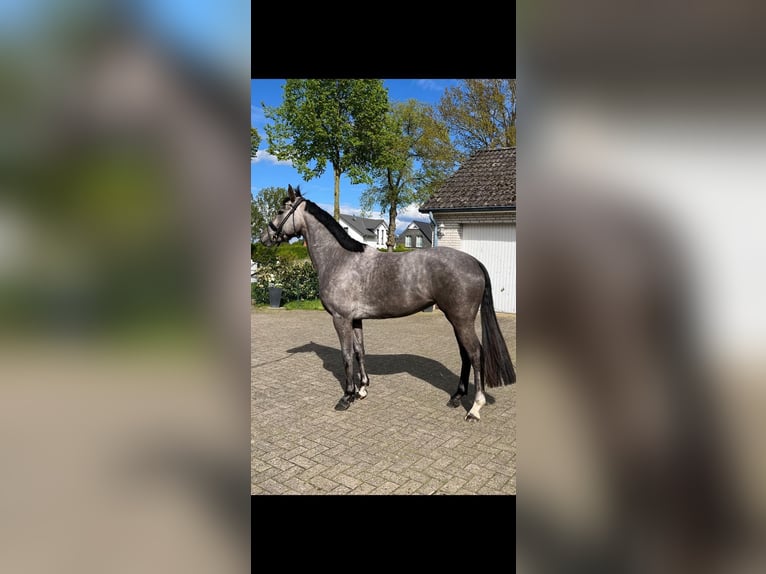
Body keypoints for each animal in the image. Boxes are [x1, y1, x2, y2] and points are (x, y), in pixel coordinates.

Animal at [259, 185, 516, 421]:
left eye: (281, 210)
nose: (264, 238)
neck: (339, 259)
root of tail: (474, 262)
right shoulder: (355, 319)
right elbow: (359, 351)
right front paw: (362, 390)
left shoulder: (341, 319)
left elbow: (346, 355)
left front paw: (346, 396)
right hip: (456, 319)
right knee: (465, 354)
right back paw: (456, 397)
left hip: (461, 319)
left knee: (475, 354)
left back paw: (474, 408)